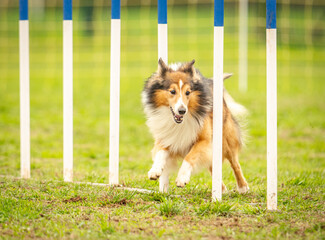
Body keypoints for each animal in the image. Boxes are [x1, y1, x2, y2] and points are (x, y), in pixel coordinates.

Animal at [140, 59, 249, 194]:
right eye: (172, 91)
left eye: (188, 92)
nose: (182, 111)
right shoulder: (166, 137)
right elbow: (160, 152)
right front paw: (155, 170)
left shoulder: (204, 140)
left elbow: (190, 156)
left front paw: (182, 178)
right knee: (213, 166)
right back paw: (221, 189)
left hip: (225, 141)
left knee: (235, 164)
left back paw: (243, 187)